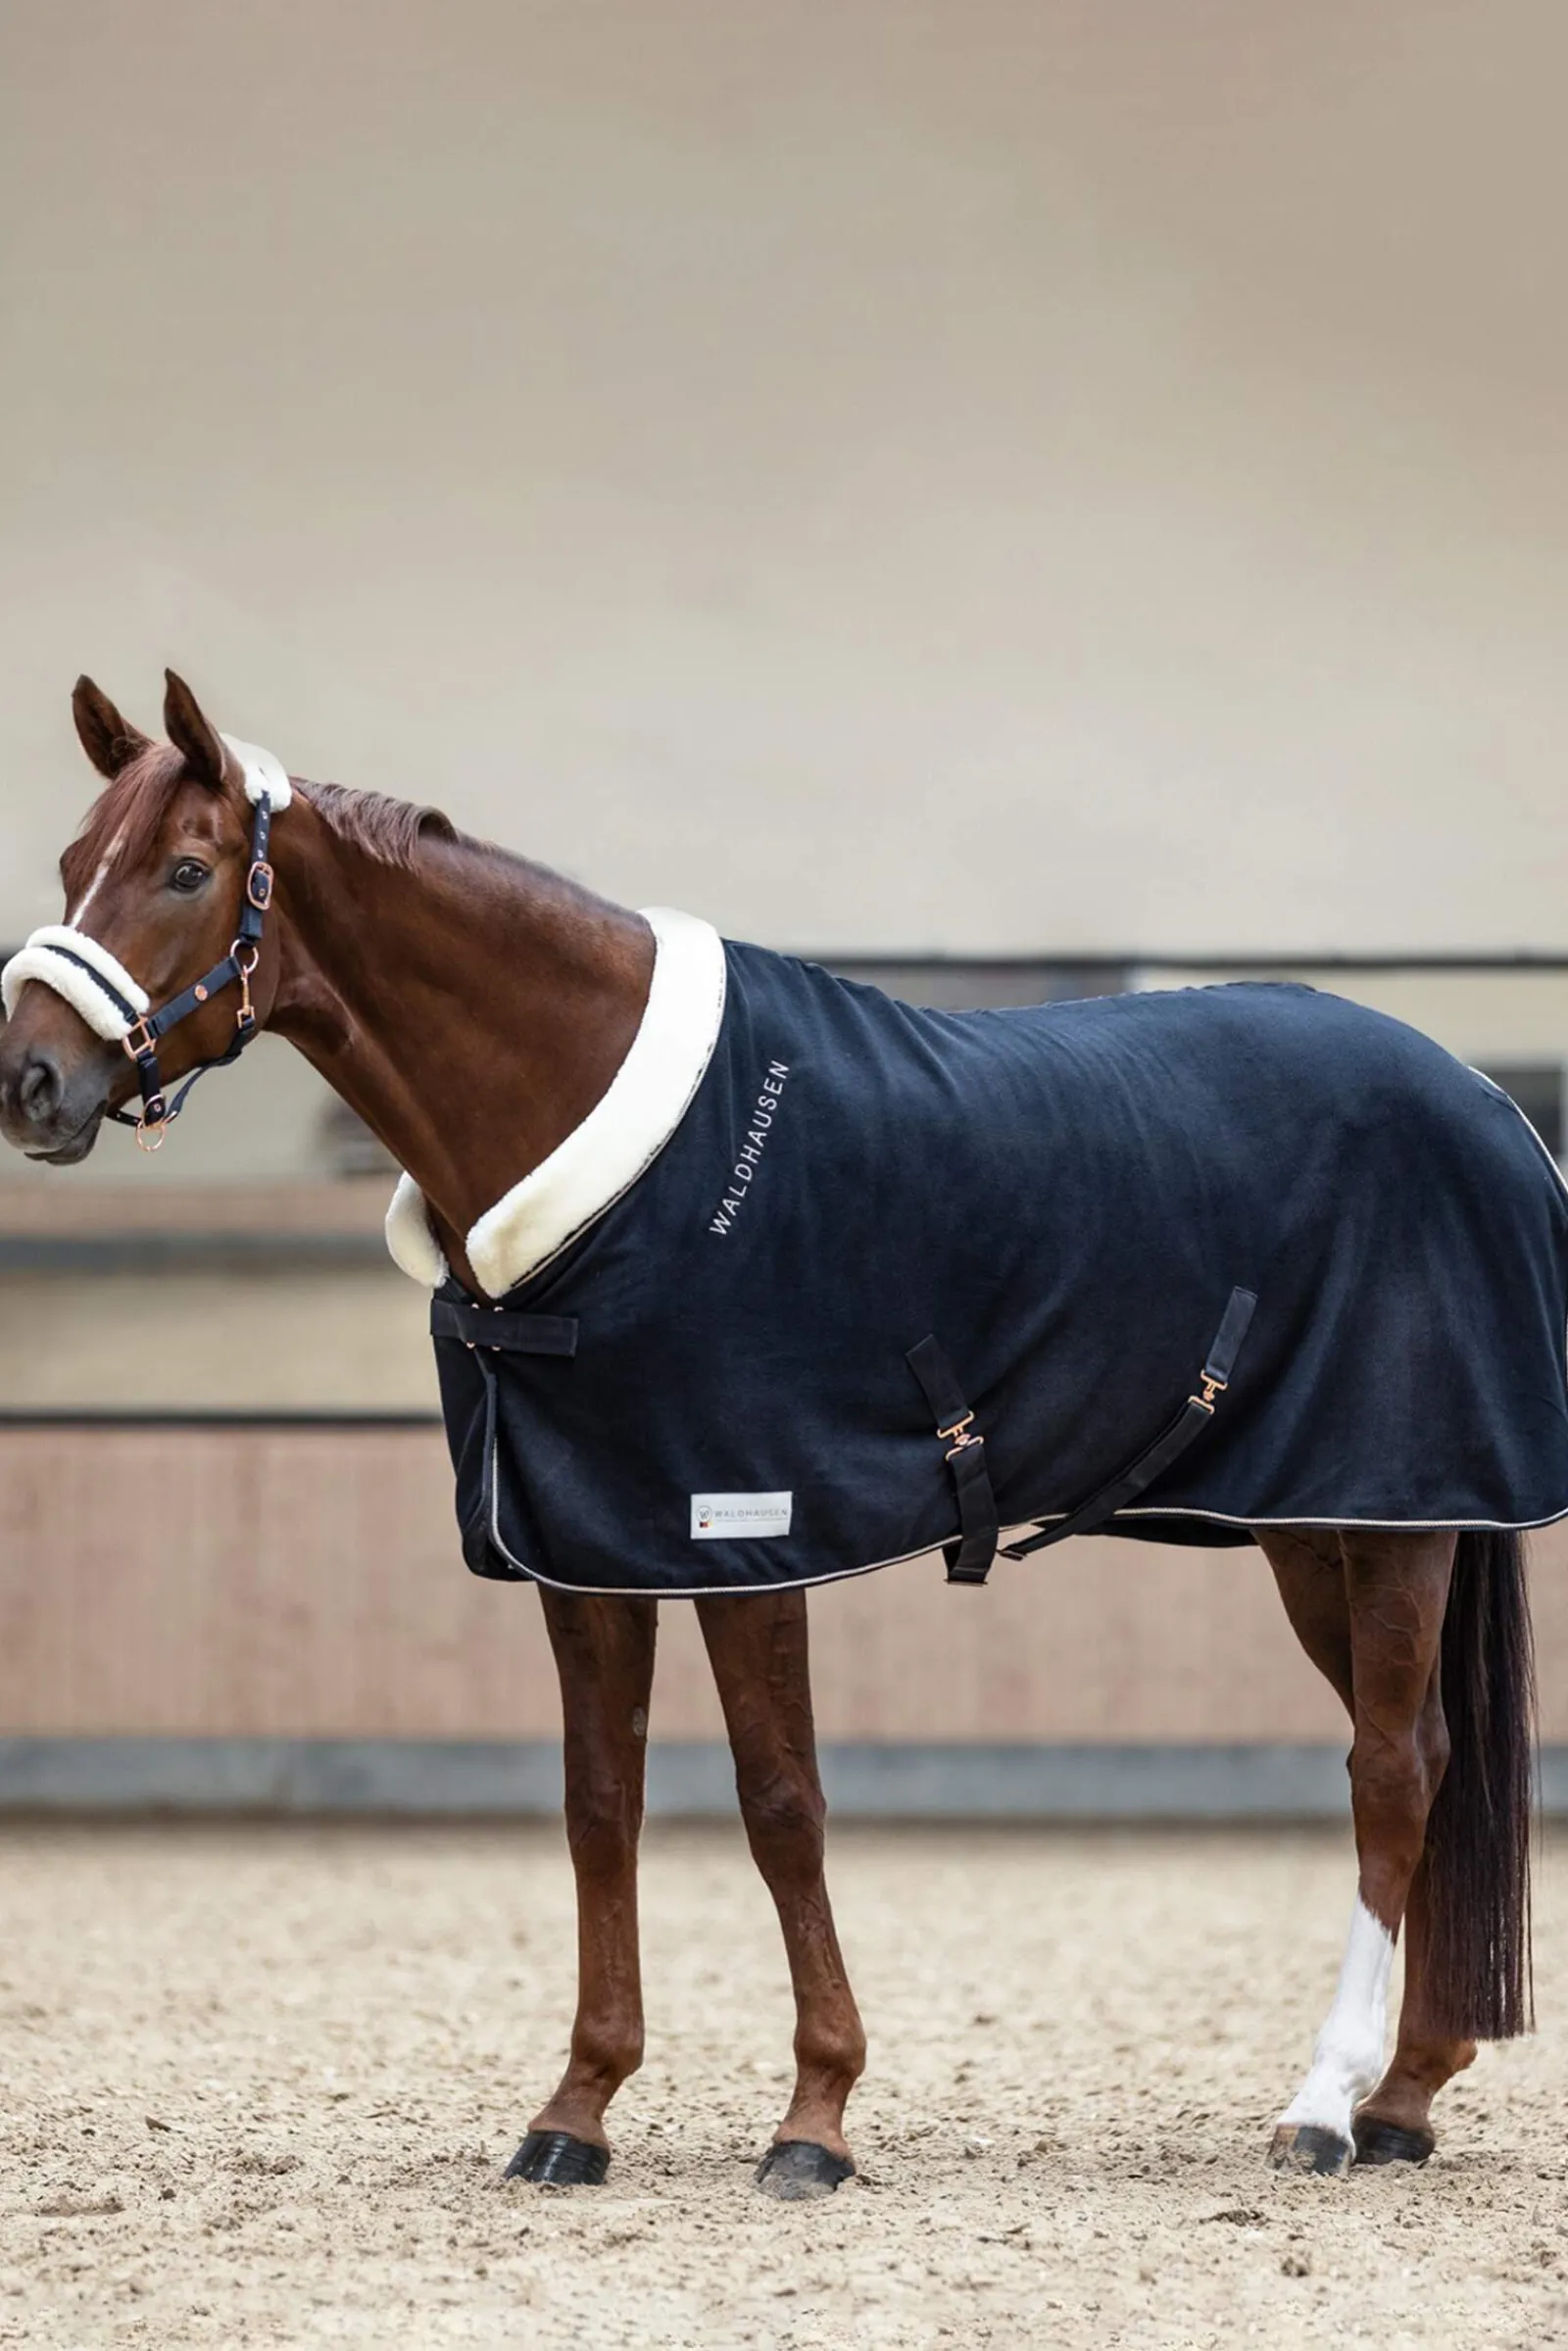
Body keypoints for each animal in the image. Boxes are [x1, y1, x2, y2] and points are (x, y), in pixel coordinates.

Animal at [0, 669, 1554, 2199]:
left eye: (187, 868)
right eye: (73, 864)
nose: (30, 1082)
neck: (626, 1159)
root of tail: (1484, 1099)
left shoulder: (745, 1527)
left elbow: (780, 1801)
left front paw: (815, 2114)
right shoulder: (589, 1547)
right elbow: (600, 1803)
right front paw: (576, 2109)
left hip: (1391, 1517)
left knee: (1390, 1769)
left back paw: (1327, 2101)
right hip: (1320, 1529)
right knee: (1424, 1749)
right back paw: (1405, 2095)